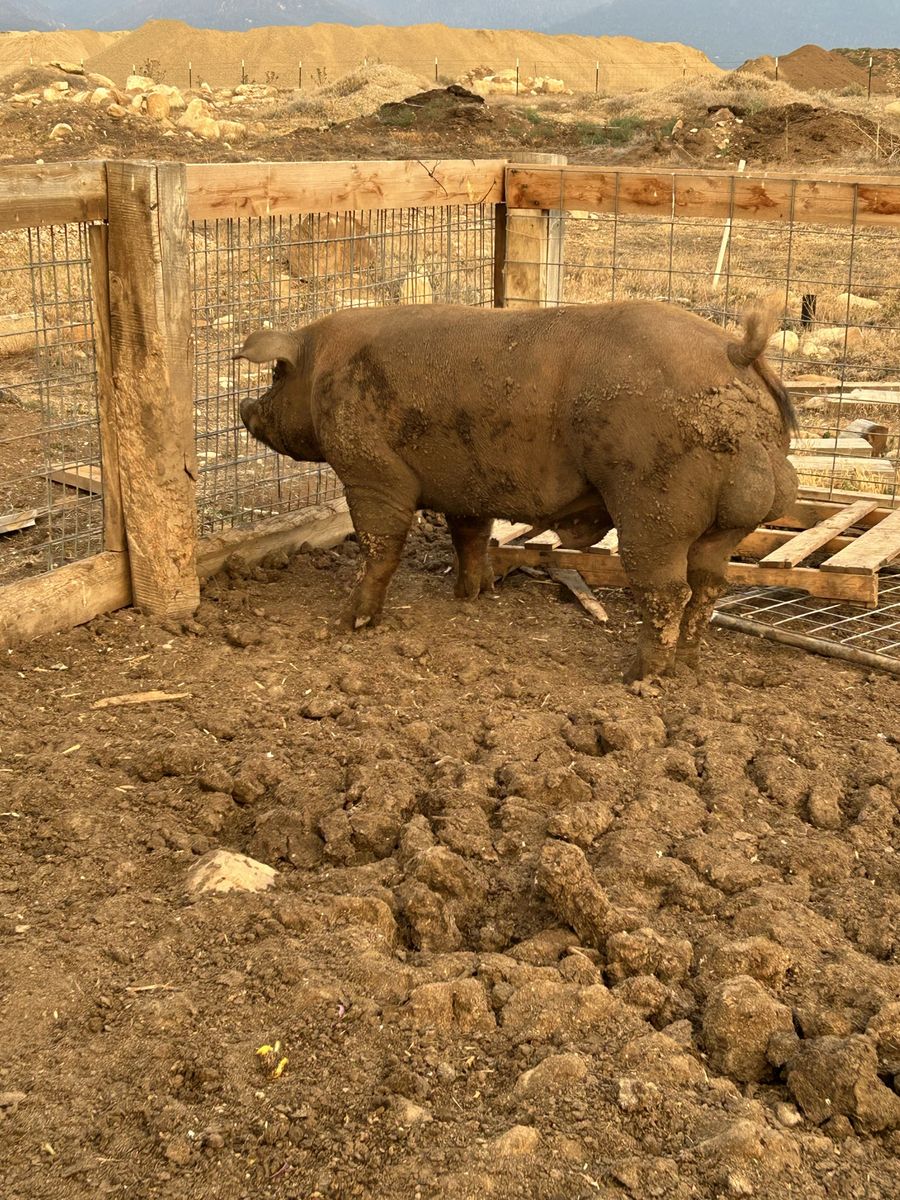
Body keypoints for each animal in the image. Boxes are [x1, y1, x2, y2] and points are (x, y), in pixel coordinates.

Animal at [235, 298, 797, 680]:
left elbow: (381, 544)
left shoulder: (370, 470)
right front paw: (470, 596)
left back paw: (639, 677)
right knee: (709, 585)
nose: (244, 409)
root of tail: (736, 352)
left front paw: (349, 623)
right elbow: (470, 537)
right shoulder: (466, 484)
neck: (321, 366)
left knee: (667, 591)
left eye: (276, 374)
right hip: (727, 525)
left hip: (652, 505)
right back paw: (688, 667)